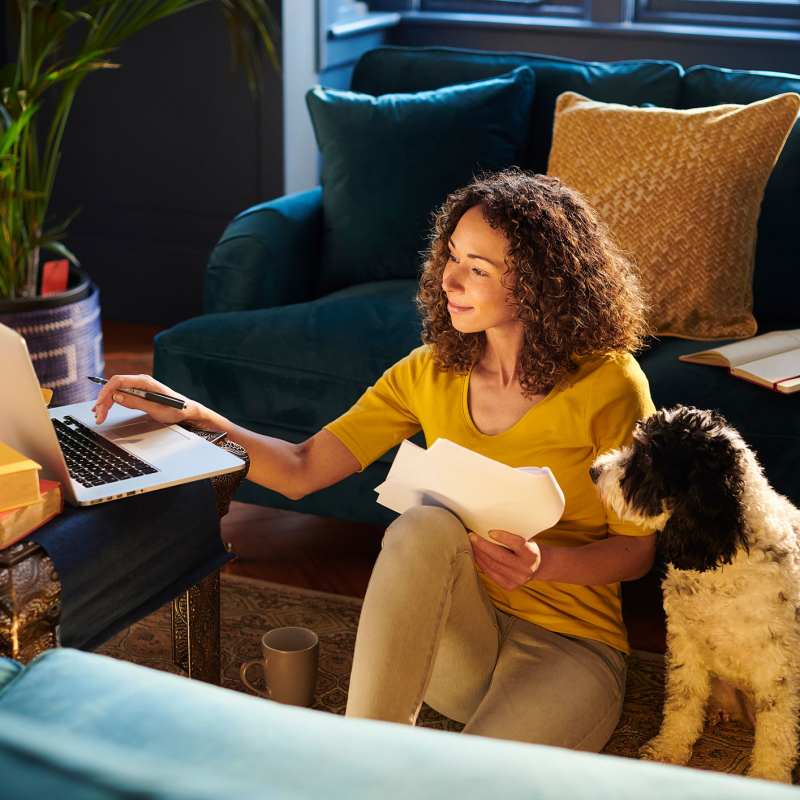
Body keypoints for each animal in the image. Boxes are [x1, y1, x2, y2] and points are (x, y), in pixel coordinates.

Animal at [588, 406, 800, 780]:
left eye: (646, 458)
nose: (594, 470)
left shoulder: (778, 665)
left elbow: (776, 735)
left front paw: (766, 778)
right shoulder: (685, 641)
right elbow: (682, 702)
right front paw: (669, 749)